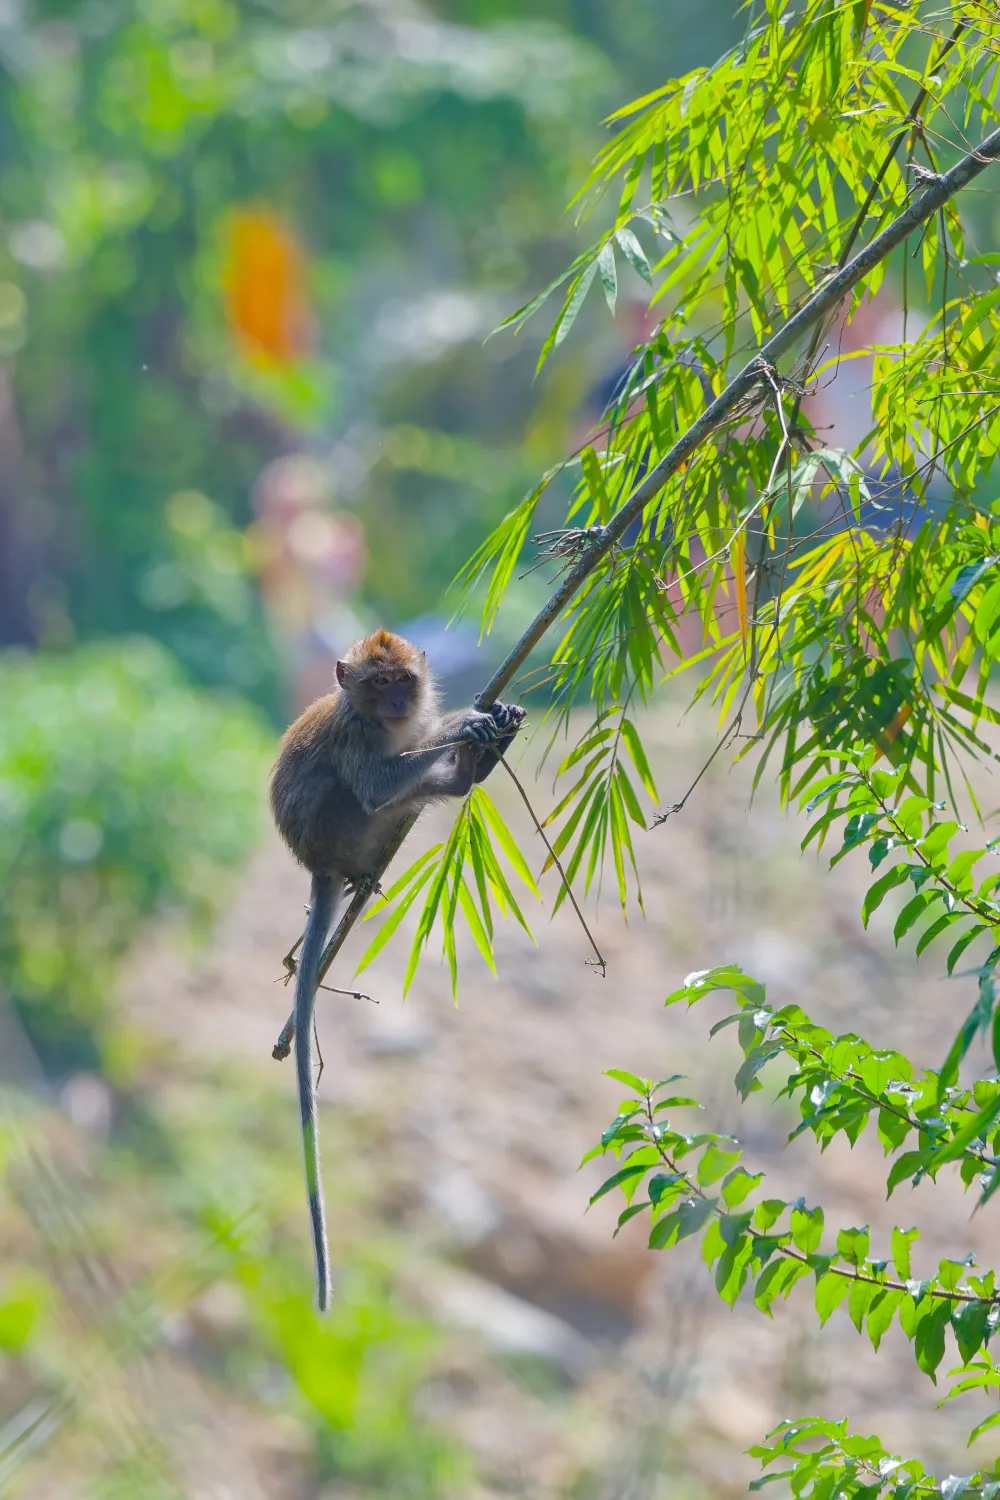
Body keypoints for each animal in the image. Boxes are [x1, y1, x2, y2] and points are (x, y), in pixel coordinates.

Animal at [269, 628, 524, 1310]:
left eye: (402, 681)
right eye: (376, 683)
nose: (394, 704)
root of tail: (319, 862)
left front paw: (485, 724)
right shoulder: (356, 736)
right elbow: (377, 781)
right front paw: (464, 723)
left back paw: (469, 774)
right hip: (342, 825)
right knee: (359, 792)